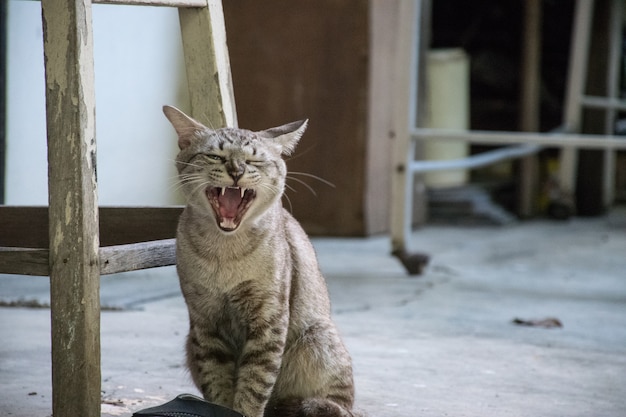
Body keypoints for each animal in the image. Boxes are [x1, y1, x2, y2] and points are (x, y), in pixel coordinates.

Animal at [163, 105, 358, 417]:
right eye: (215, 156)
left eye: (254, 160)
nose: (236, 171)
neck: (224, 252)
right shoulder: (205, 323)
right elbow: (218, 385)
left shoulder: (268, 320)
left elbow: (254, 385)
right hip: (191, 341)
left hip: (317, 339)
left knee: (338, 405)